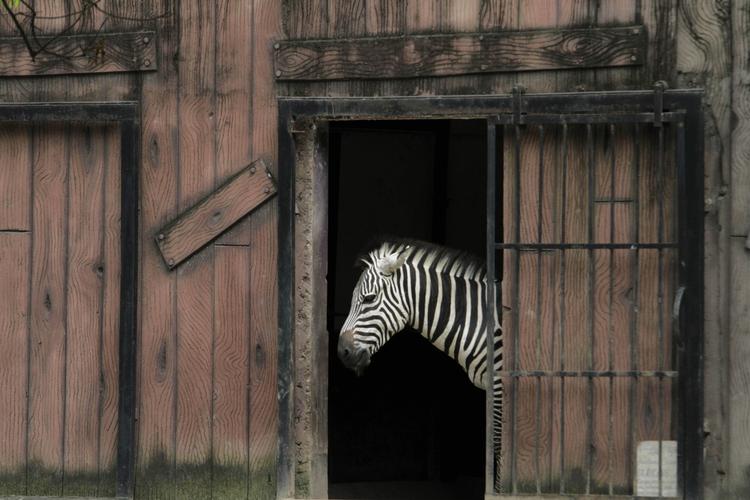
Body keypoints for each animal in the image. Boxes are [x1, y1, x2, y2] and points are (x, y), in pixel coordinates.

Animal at [337, 239, 504, 491]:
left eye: (369, 299)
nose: (342, 353)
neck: (479, 321)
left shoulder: (502, 384)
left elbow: (499, 444)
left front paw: (499, 492)